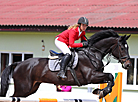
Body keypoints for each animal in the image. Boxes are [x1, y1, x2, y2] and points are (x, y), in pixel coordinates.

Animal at [0, 29, 132, 99]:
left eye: (128, 47)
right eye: (121, 48)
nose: (128, 65)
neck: (93, 54)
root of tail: (18, 64)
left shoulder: (96, 76)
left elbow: (110, 79)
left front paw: (99, 91)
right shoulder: (91, 76)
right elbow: (110, 76)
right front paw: (101, 92)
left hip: (31, 88)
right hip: (23, 88)